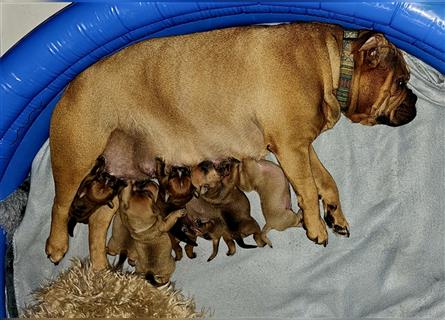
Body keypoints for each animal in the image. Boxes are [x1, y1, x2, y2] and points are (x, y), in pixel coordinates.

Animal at [46, 21, 416, 270]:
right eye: (401, 82)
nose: (414, 100)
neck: (335, 66)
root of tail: (69, 86)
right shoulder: (291, 147)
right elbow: (309, 189)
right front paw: (316, 226)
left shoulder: (300, 147)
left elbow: (326, 182)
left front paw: (335, 214)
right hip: (76, 154)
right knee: (60, 205)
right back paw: (56, 245)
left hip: (119, 173)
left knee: (96, 224)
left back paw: (98, 269)